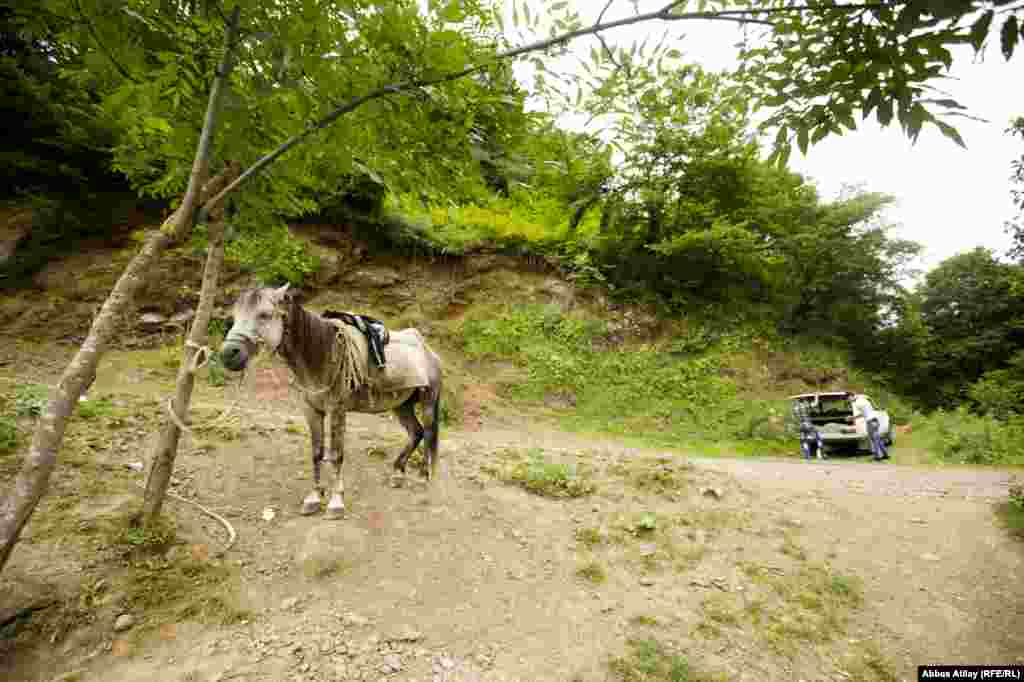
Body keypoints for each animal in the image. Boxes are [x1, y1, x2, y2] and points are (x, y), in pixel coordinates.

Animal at [220, 284, 444, 518]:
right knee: (416, 432)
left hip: (428, 402)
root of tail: (429, 351)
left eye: (264, 314)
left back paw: (422, 477)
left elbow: (336, 455)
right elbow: (317, 453)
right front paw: (314, 497)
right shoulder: (312, 410)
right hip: (402, 405)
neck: (322, 354)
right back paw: (397, 474)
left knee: (428, 433)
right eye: (234, 316)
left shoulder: (337, 410)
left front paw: (336, 502)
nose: (228, 354)